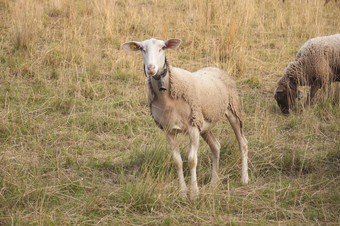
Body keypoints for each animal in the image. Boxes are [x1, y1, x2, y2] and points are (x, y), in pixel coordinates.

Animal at [122, 38, 250, 200]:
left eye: (163, 48)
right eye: (141, 49)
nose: (150, 68)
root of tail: (215, 68)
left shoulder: (192, 128)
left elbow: (192, 160)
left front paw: (194, 193)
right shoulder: (169, 130)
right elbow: (177, 162)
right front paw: (182, 192)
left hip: (233, 111)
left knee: (243, 143)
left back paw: (244, 178)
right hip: (203, 123)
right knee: (216, 146)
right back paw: (214, 181)